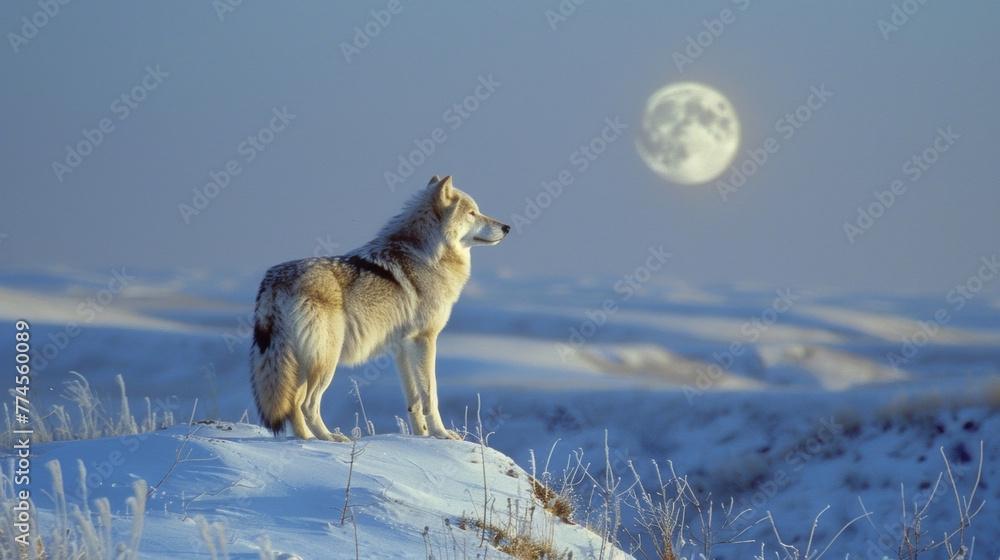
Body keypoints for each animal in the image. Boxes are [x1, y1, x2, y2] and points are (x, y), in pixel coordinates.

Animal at [251, 175, 509, 442]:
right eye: (472, 213)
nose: (507, 227)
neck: (426, 256)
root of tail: (275, 280)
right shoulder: (425, 339)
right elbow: (431, 397)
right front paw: (442, 434)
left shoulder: (403, 347)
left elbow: (414, 402)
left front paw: (420, 437)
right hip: (325, 362)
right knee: (306, 404)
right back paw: (330, 439)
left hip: (302, 364)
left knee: (293, 404)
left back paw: (308, 441)